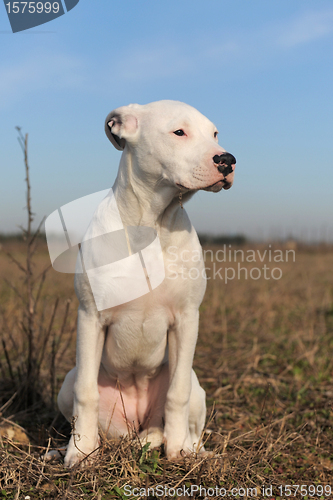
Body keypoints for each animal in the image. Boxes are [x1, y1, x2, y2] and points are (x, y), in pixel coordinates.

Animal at [56, 99, 233, 466]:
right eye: (179, 132)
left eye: (214, 134)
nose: (227, 159)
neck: (152, 223)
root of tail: (136, 422)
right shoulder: (90, 316)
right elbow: (86, 393)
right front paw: (80, 453)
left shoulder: (186, 318)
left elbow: (177, 394)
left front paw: (178, 449)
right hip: (69, 381)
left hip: (193, 382)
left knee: (184, 416)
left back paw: (188, 448)